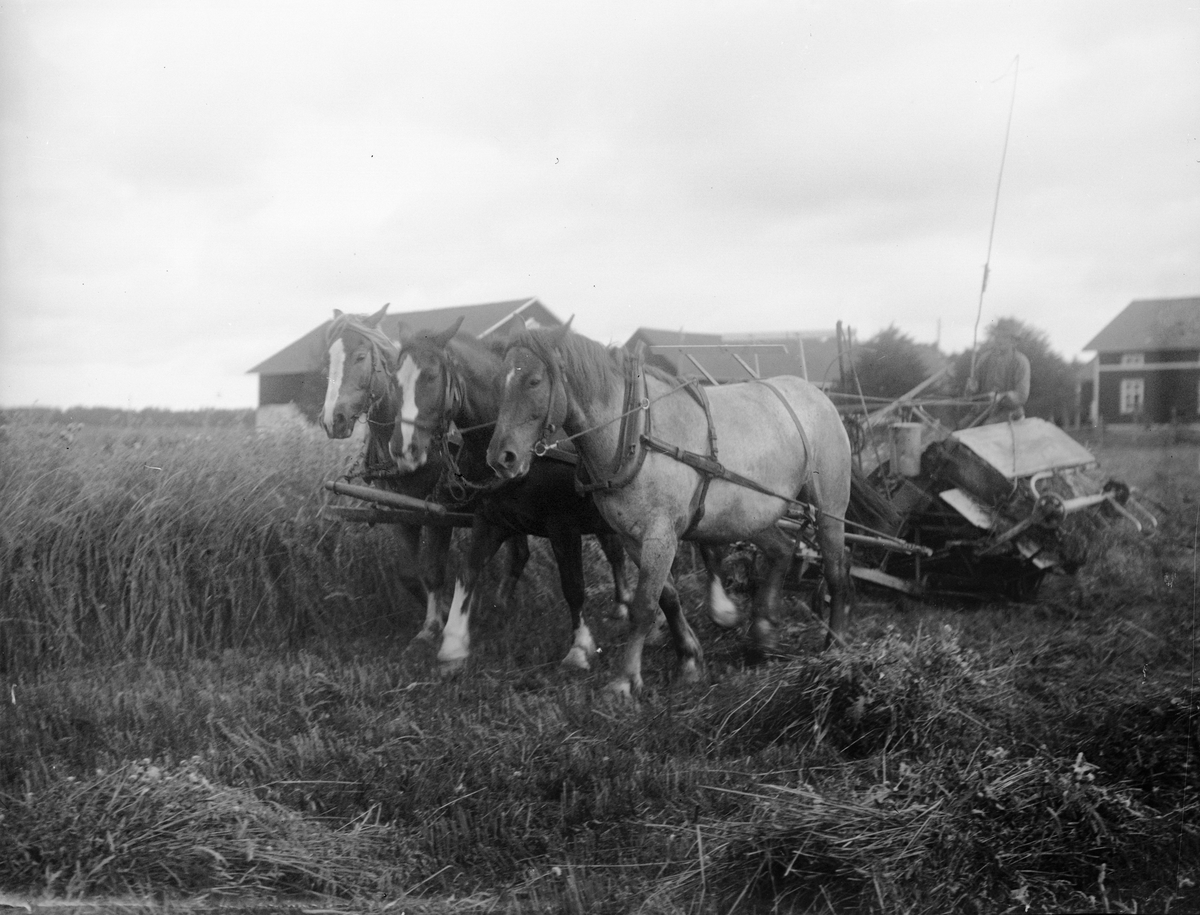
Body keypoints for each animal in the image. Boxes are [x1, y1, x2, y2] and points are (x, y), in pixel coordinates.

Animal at [319, 305, 530, 643]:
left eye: (361, 357)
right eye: (329, 360)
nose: (332, 420)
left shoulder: (439, 510)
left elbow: (434, 568)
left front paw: (434, 623)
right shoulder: (401, 508)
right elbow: (408, 573)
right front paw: (440, 612)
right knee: (519, 551)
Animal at [482, 324, 859, 696]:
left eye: (534, 380)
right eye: (499, 380)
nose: (501, 458)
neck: (633, 432)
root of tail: (818, 396)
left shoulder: (660, 535)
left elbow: (643, 606)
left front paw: (625, 680)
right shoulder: (634, 538)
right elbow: (668, 598)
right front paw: (689, 659)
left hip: (829, 510)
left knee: (837, 569)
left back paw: (836, 644)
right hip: (749, 514)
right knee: (782, 550)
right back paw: (762, 634)